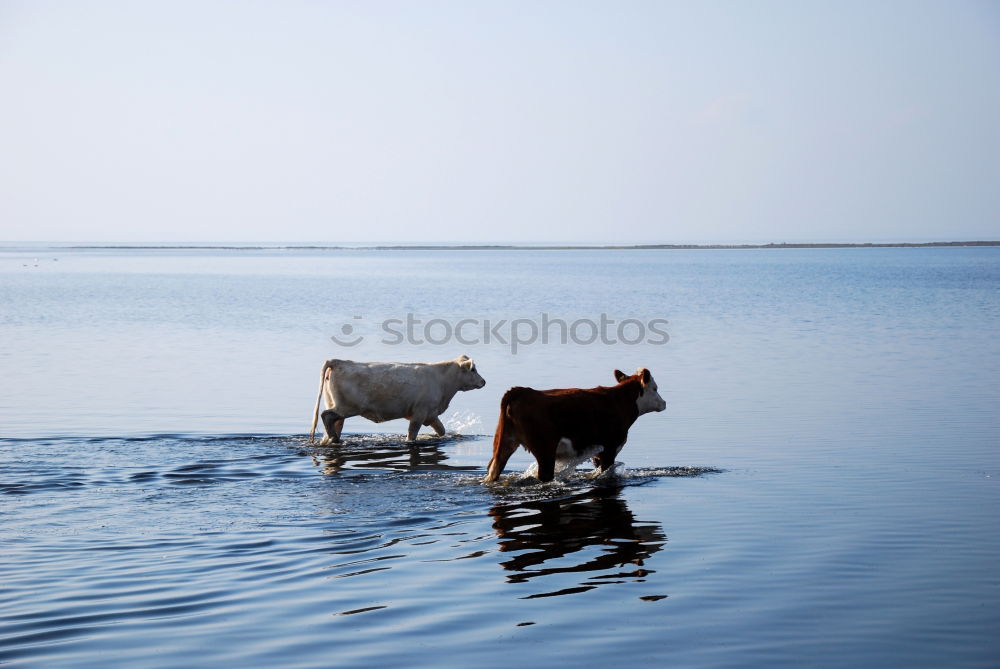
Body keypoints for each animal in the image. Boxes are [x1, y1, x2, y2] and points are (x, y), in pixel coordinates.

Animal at [310, 354, 486, 444]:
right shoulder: (419, 413)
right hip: (347, 407)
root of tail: (339, 361)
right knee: (326, 415)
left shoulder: (430, 414)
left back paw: (332, 438)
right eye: (473, 369)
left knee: (333, 423)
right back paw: (333, 438)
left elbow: (441, 430)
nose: (483, 381)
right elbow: (412, 433)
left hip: (336, 405)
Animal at [482, 368, 664, 482]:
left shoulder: (598, 454)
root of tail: (521, 391)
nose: (664, 403)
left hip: (503, 442)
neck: (620, 401)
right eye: (655, 388)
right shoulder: (610, 449)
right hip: (545, 449)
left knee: (493, 470)